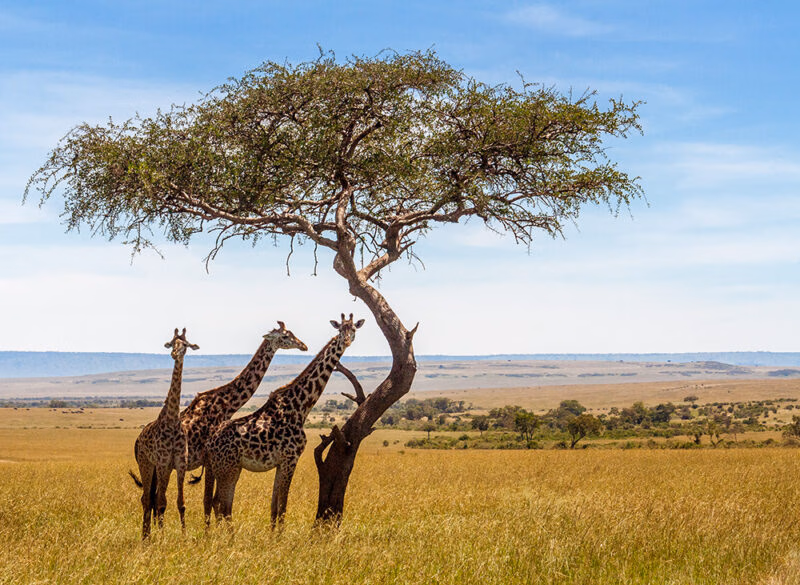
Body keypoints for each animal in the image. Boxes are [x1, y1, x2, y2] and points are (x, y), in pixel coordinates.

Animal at [131, 328, 199, 539]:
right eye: (171, 343)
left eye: (185, 344)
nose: (175, 354)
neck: (172, 421)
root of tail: (137, 440)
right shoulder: (161, 462)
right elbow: (161, 503)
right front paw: (161, 538)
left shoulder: (179, 463)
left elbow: (180, 503)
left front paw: (184, 537)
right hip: (146, 464)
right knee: (147, 498)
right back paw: (146, 537)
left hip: (163, 469)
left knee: (153, 498)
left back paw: (148, 534)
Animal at [203, 313, 364, 528]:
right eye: (340, 330)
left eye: (353, 329)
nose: (346, 341)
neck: (301, 406)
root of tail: (209, 443)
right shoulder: (291, 458)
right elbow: (283, 506)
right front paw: (280, 535)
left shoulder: (280, 463)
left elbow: (274, 506)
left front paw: (273, 534)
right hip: (226, 467)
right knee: (222, 505)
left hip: (226, 467)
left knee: (218, 503)